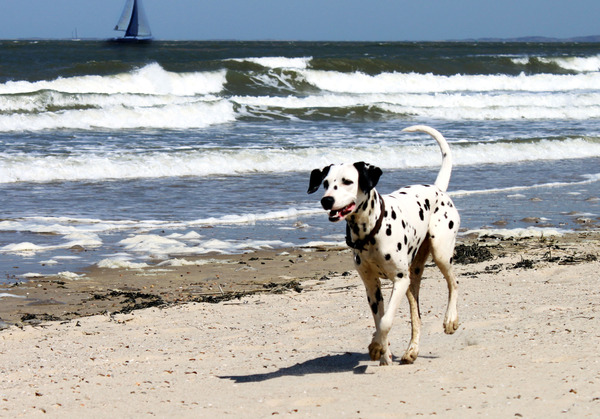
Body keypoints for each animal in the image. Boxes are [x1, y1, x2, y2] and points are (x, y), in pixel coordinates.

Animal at [308, 126, 462, 366]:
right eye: (325, 184)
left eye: (347, 181)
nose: (327, 200)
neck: (370, 232)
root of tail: (437, 189)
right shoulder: (371, 286)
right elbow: (379, 320)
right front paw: (383, 353)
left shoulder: (399, 280)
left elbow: (386, 321)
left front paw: (376, 345)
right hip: (412, 278)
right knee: (417, 315)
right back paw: (412, 350)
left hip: (440, 253)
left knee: (453, 283)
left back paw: (450, 319)